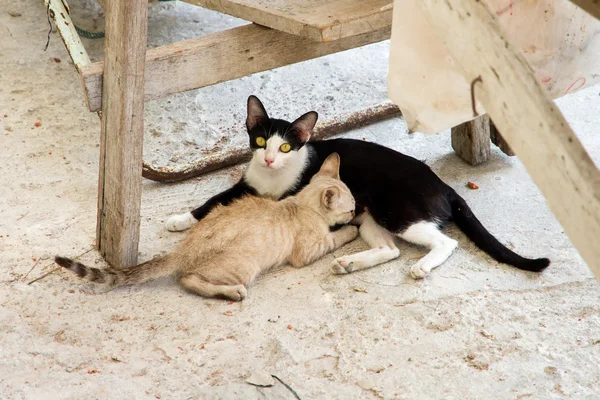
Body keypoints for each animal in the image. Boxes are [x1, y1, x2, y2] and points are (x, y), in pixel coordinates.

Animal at [165, 96, 548, 278]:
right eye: (260, 141)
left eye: (286, 147)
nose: (270, 159)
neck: (272, 179)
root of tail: (445, 185)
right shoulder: (250, 181)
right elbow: (215, 199)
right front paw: (181, 218)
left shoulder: (288, 195)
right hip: (368, 218)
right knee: (390, 250)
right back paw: (349, 263)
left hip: (397, 211)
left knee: (445, 241)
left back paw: (422, 266)